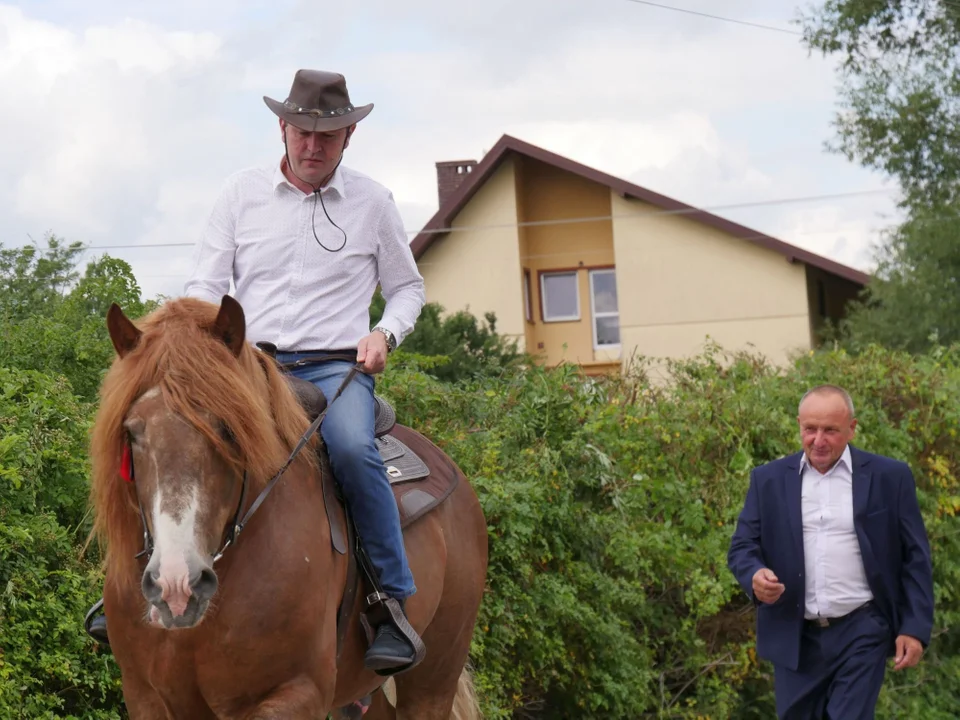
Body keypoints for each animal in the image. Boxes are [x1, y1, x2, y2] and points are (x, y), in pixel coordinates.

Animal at [89, 296, 488, 716]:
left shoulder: (296, 693)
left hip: (434, 679)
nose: (177, 584)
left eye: (228, 429)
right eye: (133, 432)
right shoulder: (145, 696)